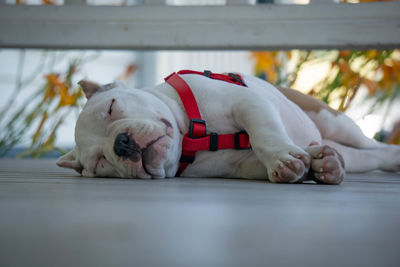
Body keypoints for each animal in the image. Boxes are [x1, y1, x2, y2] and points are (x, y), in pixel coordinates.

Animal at [55, 70, 400, 185]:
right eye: (100, 163)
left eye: (111, 108)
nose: (121, 143)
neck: (190, 139)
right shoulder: (242, 165)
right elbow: (260, 160)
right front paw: (316, 164)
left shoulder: (248, 103)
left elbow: (264, 134)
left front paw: (283, 157)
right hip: (352, 152)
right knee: (369, 157)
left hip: (335, 122)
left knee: (373, 144)